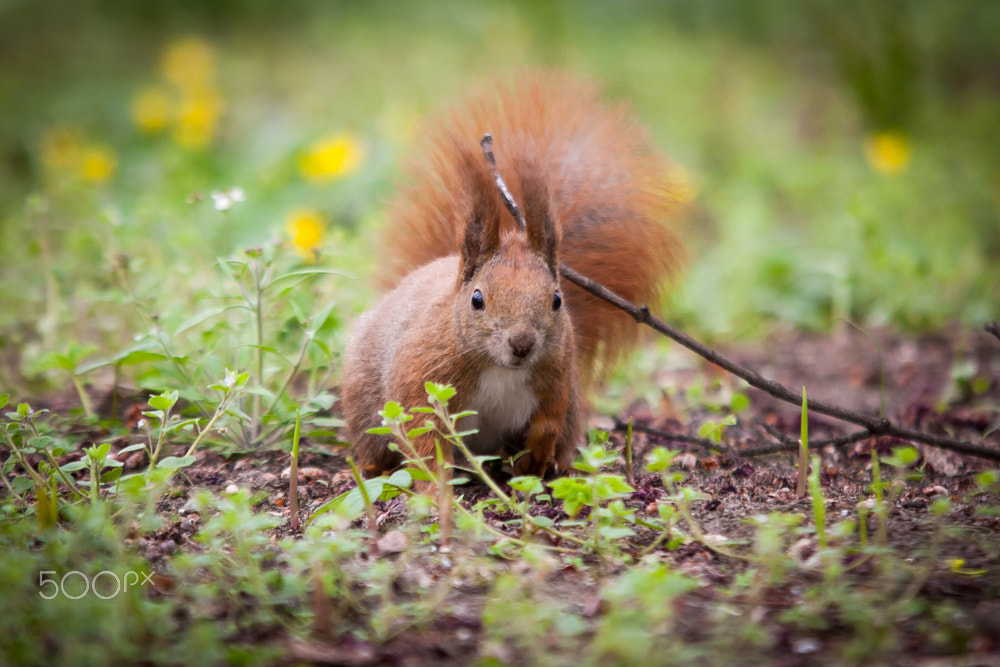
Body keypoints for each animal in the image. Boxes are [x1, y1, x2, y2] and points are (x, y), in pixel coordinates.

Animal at [341, 72, 686, 480]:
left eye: (557, 300)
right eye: (477, 299)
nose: (522, 344)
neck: (498, 367)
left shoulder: (557, 377)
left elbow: (548, 420)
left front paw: (536, 455)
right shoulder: (421, 379)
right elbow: (424, 439)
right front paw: (436, 488)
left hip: (571, 409)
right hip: (366, 405)